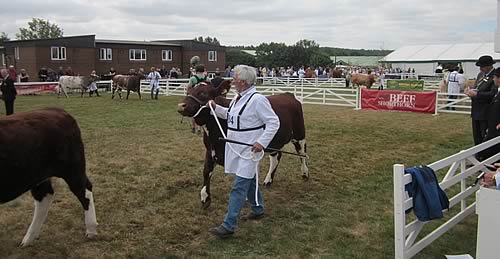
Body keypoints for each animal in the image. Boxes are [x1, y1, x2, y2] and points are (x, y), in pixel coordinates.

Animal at [0, 108, 96, 247]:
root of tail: (56, 110)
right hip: (37, 175)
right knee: (45, 196)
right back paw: (29, 238)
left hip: (72, 169)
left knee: (85, 190)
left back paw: (91, 229)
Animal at [176, 81, 308, 209]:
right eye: (188, 91)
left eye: (203, 93)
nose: (181, 105)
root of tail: (288, 94)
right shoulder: (210, 150)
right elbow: (206, 171)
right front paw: (205, 198)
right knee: (276, 157)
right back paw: (268, 180)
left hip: (299, 134)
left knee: (302, 153)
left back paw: (305, 173)